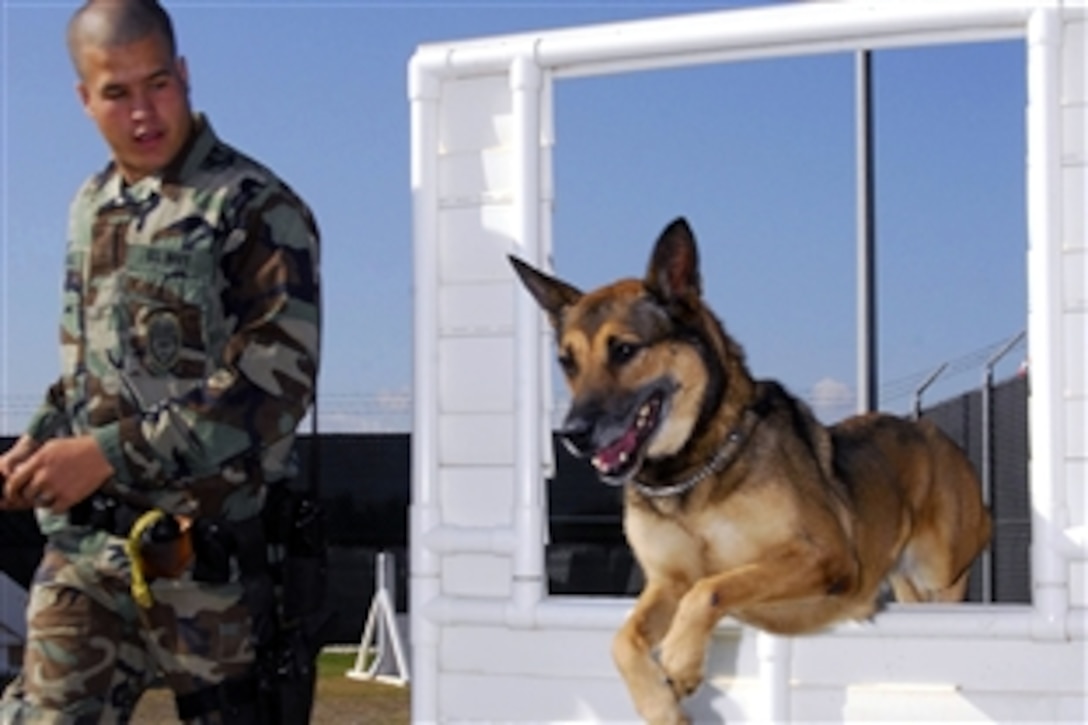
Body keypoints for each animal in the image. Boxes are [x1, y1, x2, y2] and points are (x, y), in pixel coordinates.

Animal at [509, 215, 996, 722]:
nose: (572, 434)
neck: (692, 471)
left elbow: (714, 585)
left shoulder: (823, 555)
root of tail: (931, 431)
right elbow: (623, 640)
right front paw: (660, 704)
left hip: (943, 577)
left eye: (624, 349)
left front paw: (680, 659)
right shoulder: (665, 583)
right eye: (566, 363)